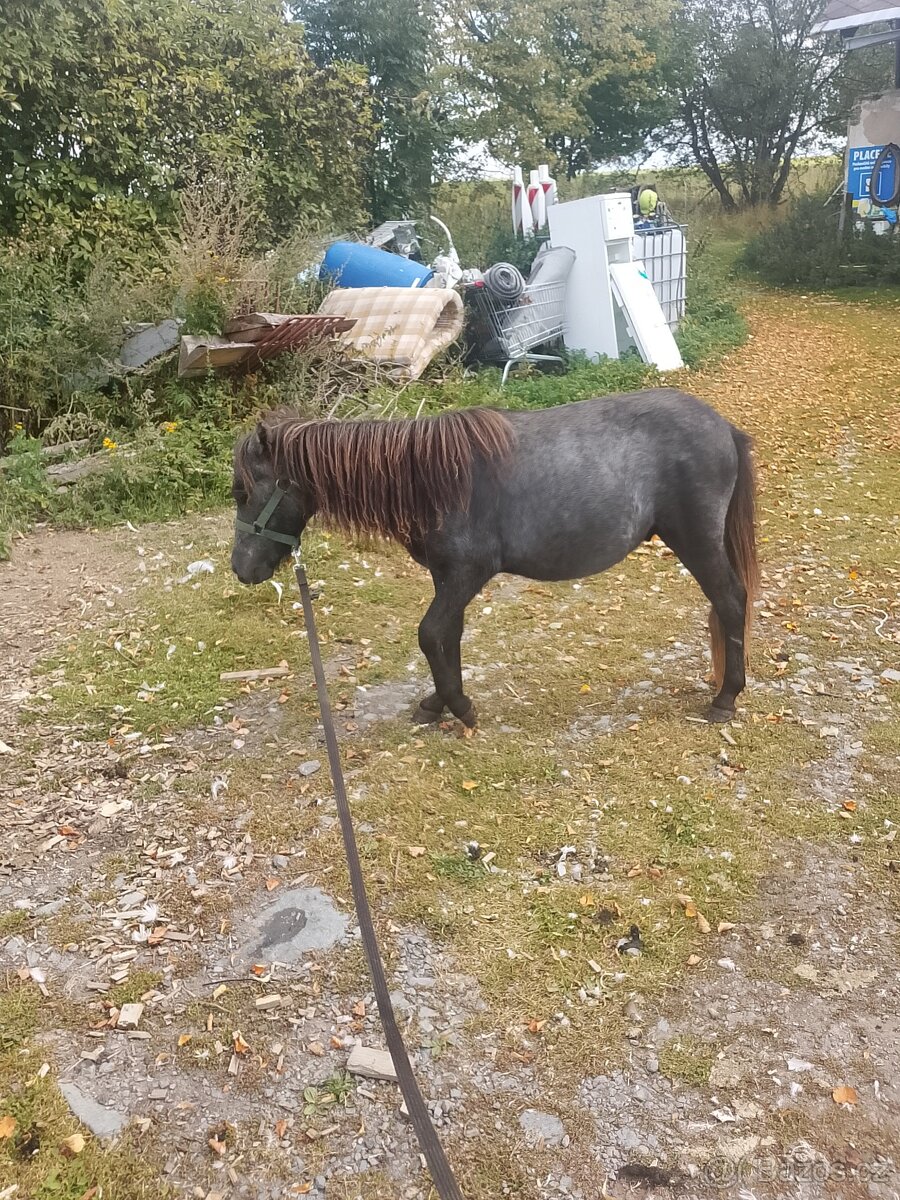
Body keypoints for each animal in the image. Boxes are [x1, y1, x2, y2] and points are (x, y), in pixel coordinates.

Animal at [230, 389, 759, 726]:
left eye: (242, 492)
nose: (241, 568)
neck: (430, 477)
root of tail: (723, 427)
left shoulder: (467, 574)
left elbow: (430, 634)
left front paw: (459, 707)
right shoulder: (448, 578)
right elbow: (448, 637)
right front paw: (438, 702)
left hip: (696, 542)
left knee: (732, 602)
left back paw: (726, 698)